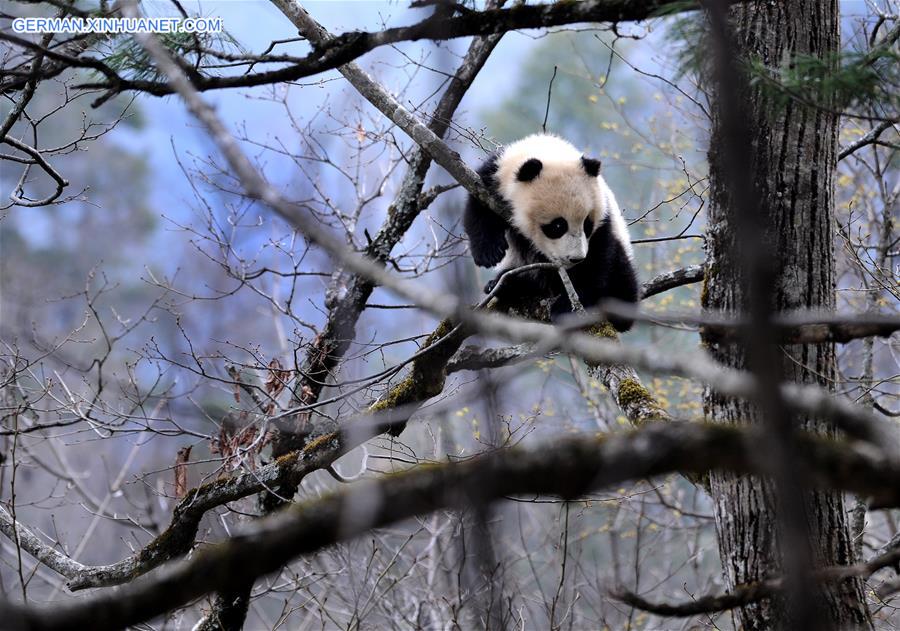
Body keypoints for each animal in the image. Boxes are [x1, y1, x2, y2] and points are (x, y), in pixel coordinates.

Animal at [464, 133, 640, 330]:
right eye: (558, 226)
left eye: (587, 225)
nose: (576, 258)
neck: (549, 151)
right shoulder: (493, 175)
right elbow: (478, 207)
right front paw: (489, 252)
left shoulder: (604, 216)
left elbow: (596, 262)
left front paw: (567, 307)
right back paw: (505, 284)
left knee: (622, 278)